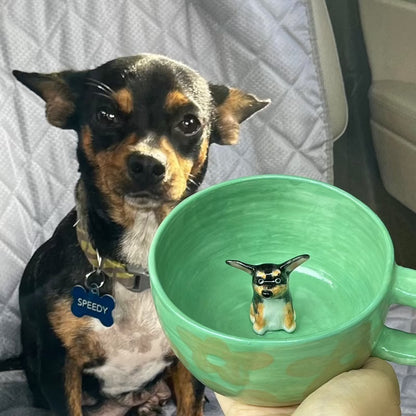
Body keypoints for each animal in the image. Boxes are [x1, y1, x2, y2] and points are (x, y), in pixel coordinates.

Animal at [13, 56, 270, 416]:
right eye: (105, 115)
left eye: (190, 123)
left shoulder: (187, 362)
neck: (139, 259)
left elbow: (191, 405)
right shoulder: (59, 369)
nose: (148, 164)